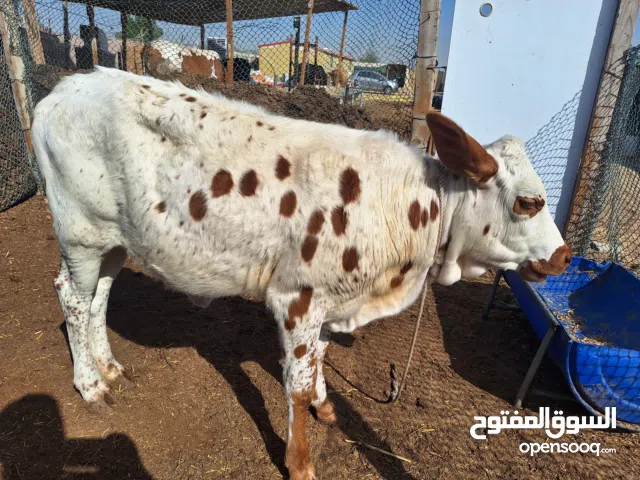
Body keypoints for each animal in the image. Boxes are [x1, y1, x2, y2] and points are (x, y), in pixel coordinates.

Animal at [32, 67, 571, 480]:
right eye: (529, 202)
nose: (565, 256)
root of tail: (62, 90)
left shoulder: (334, 298)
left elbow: (321, 357)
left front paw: (324, 403)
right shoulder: (297, 297)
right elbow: (295, 379)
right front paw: (300, 462)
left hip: (116, 240)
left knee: (100, 295)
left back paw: (108, 365)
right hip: (81, 233)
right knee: (71, 297)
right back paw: (90, 384)